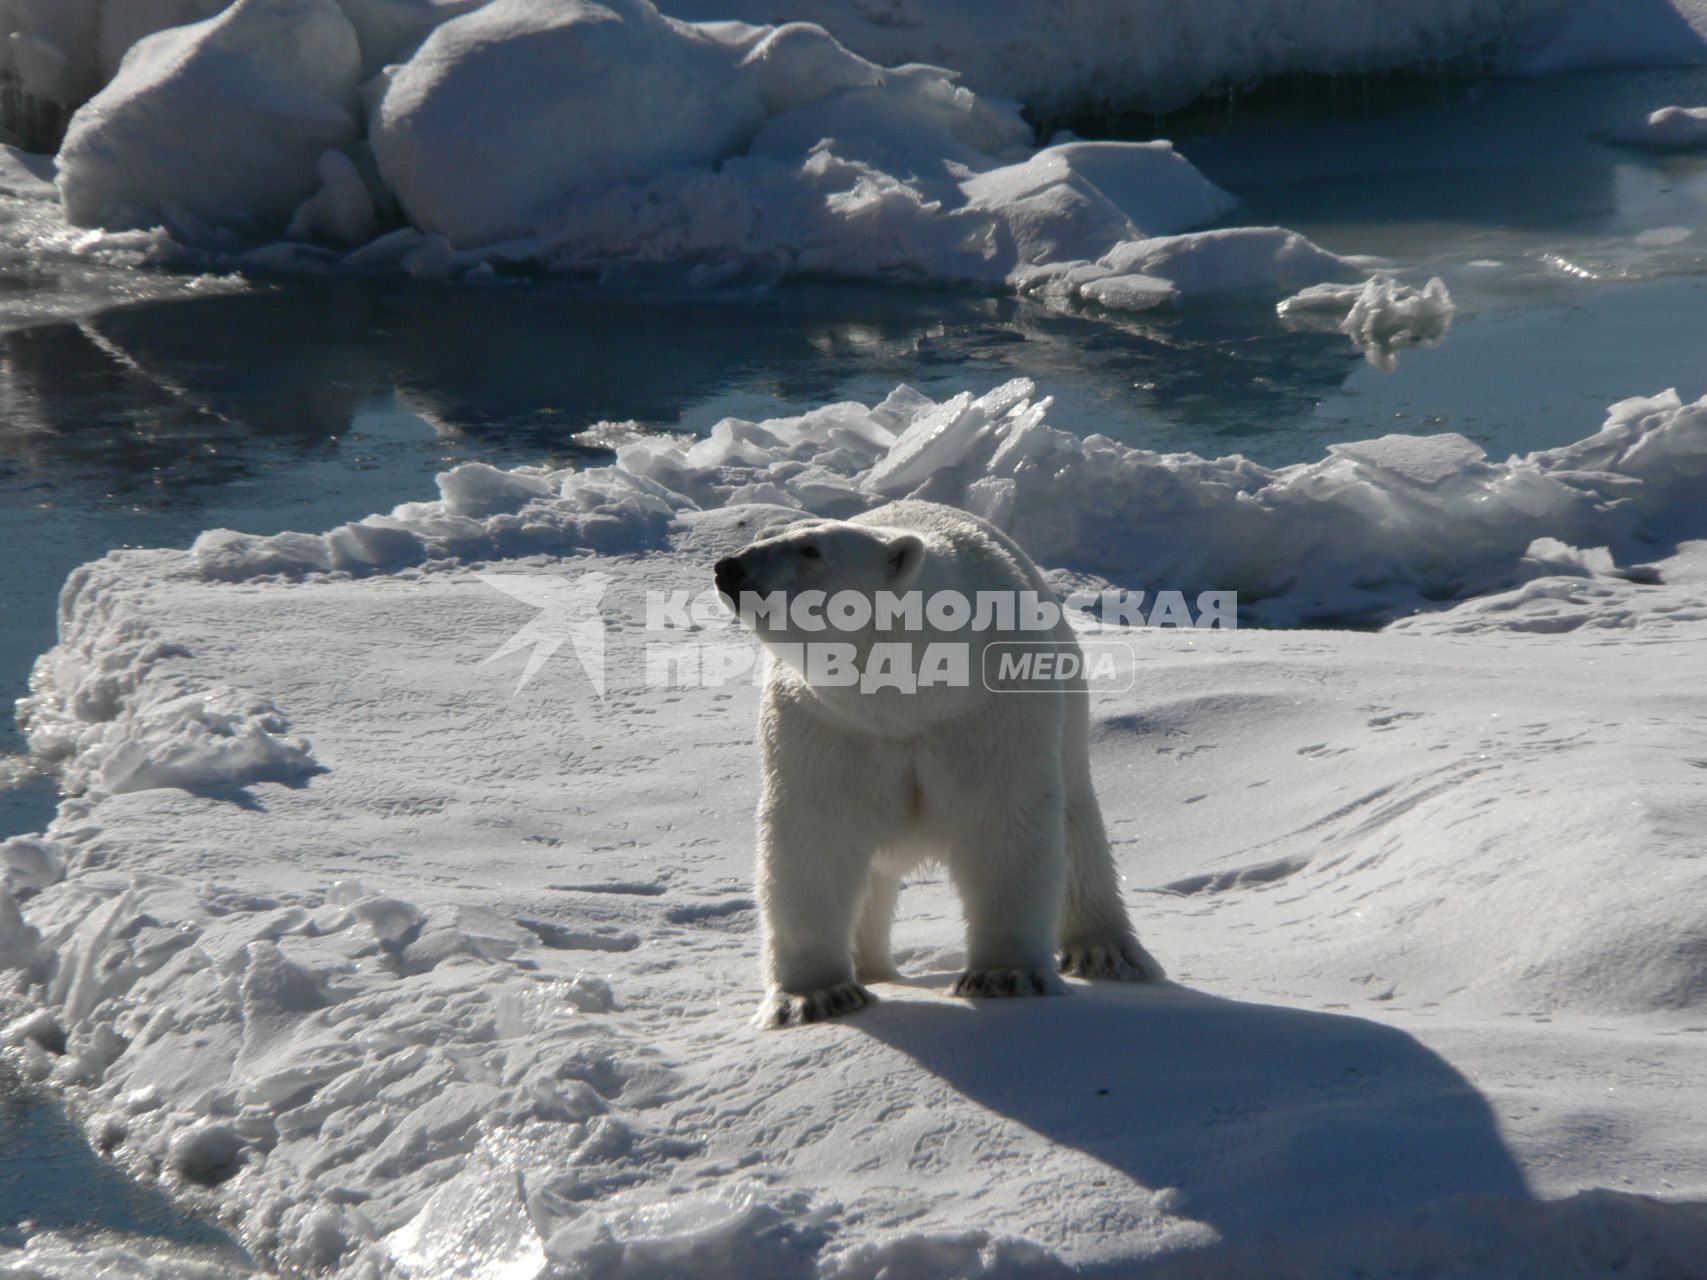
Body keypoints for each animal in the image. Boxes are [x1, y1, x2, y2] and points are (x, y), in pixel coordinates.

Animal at [713, 494, 1167, 1030]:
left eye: (810, 549)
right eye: (764, 536)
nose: (729, 567)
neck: (911, 697)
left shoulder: (989, 710)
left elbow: (1002, 821)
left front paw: (1003, 976)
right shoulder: (827, 724)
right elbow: (813, 837)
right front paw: (815, 997)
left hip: (1068, 710)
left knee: (1078, 826)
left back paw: (1104, 950)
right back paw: (870, 968)